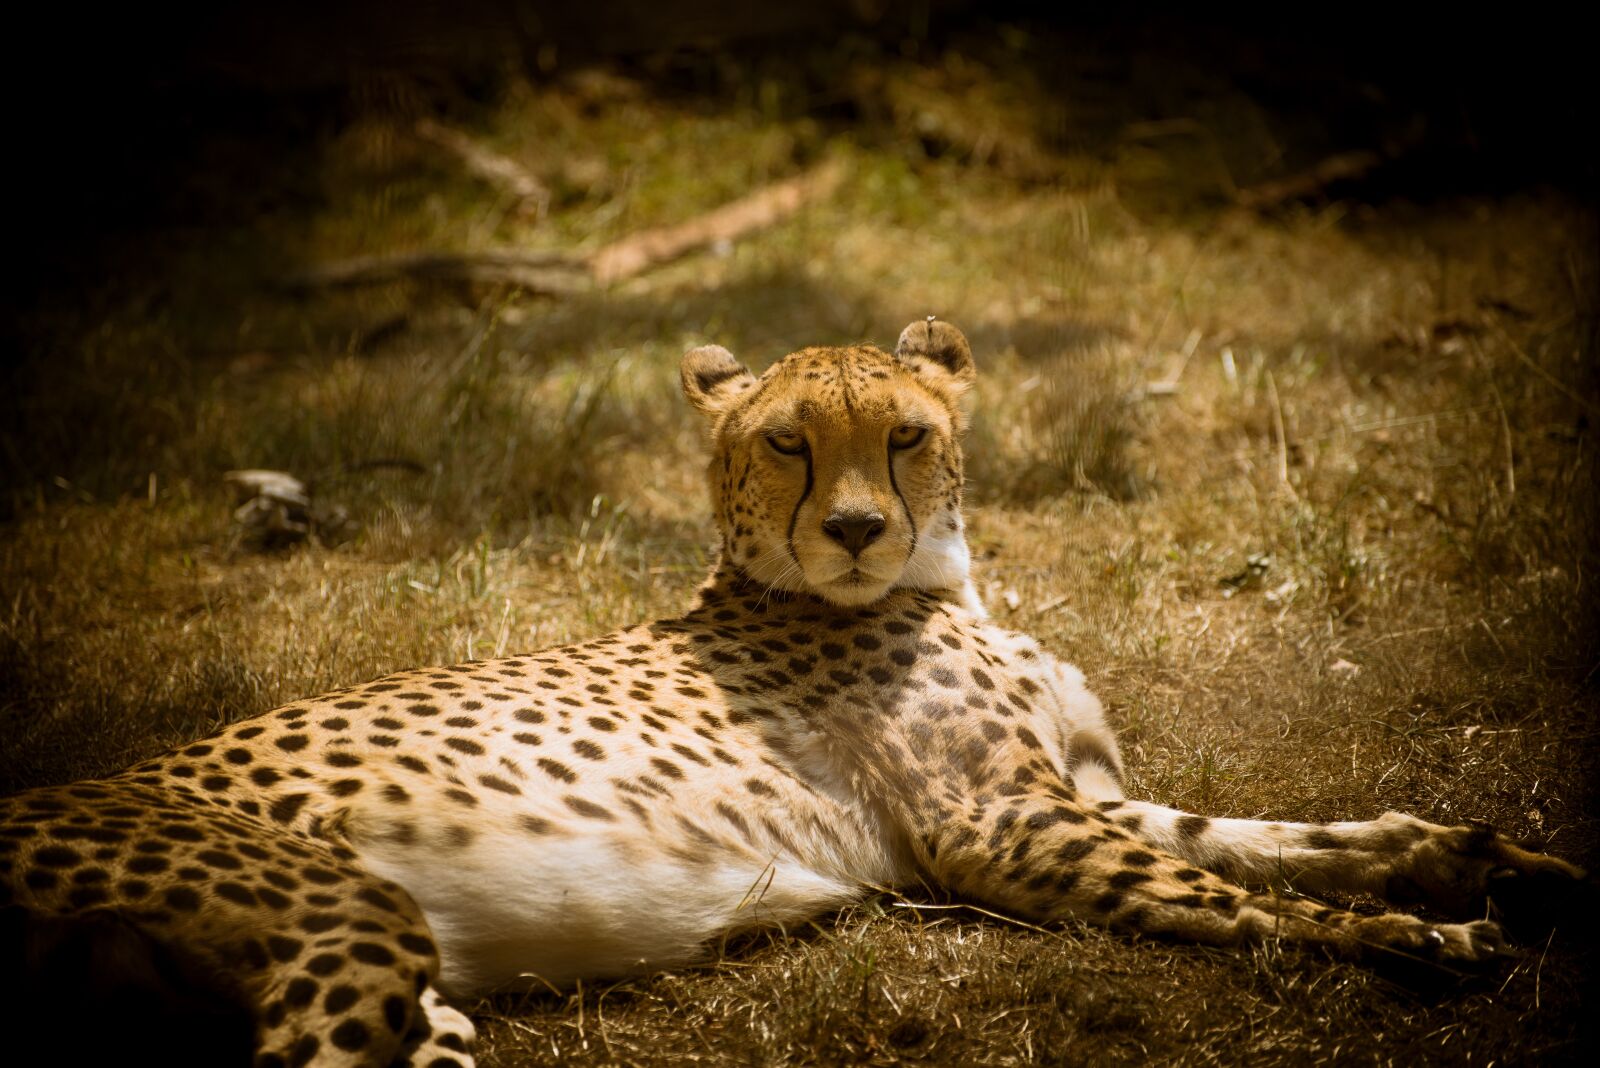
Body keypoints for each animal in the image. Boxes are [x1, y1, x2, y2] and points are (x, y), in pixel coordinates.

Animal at [0, 318, 1587, 1067]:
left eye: (904, 435)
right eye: (783, 444)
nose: (858, 529)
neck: (940, 585)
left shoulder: (1077, 798)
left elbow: (1283, 839)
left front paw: (1489, 858)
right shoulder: (1003, 832)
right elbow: (1247, 898)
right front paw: (1419, 941)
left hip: (398, 996)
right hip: (347, 917)